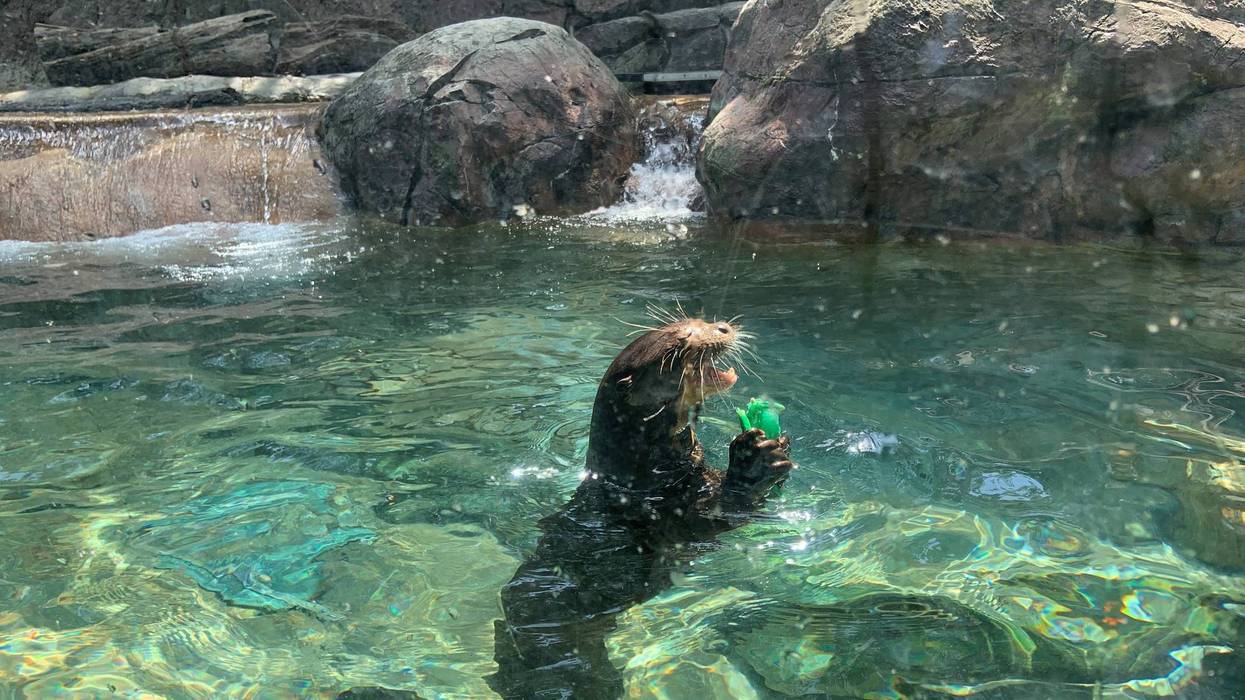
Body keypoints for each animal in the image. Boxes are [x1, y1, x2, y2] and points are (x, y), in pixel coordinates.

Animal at [489, 316, 793, 699]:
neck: (643, 470)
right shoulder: (668, 513)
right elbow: (715, 516)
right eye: (680, 342)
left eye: (694, 320)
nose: (723, 328)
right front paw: (754, 461)